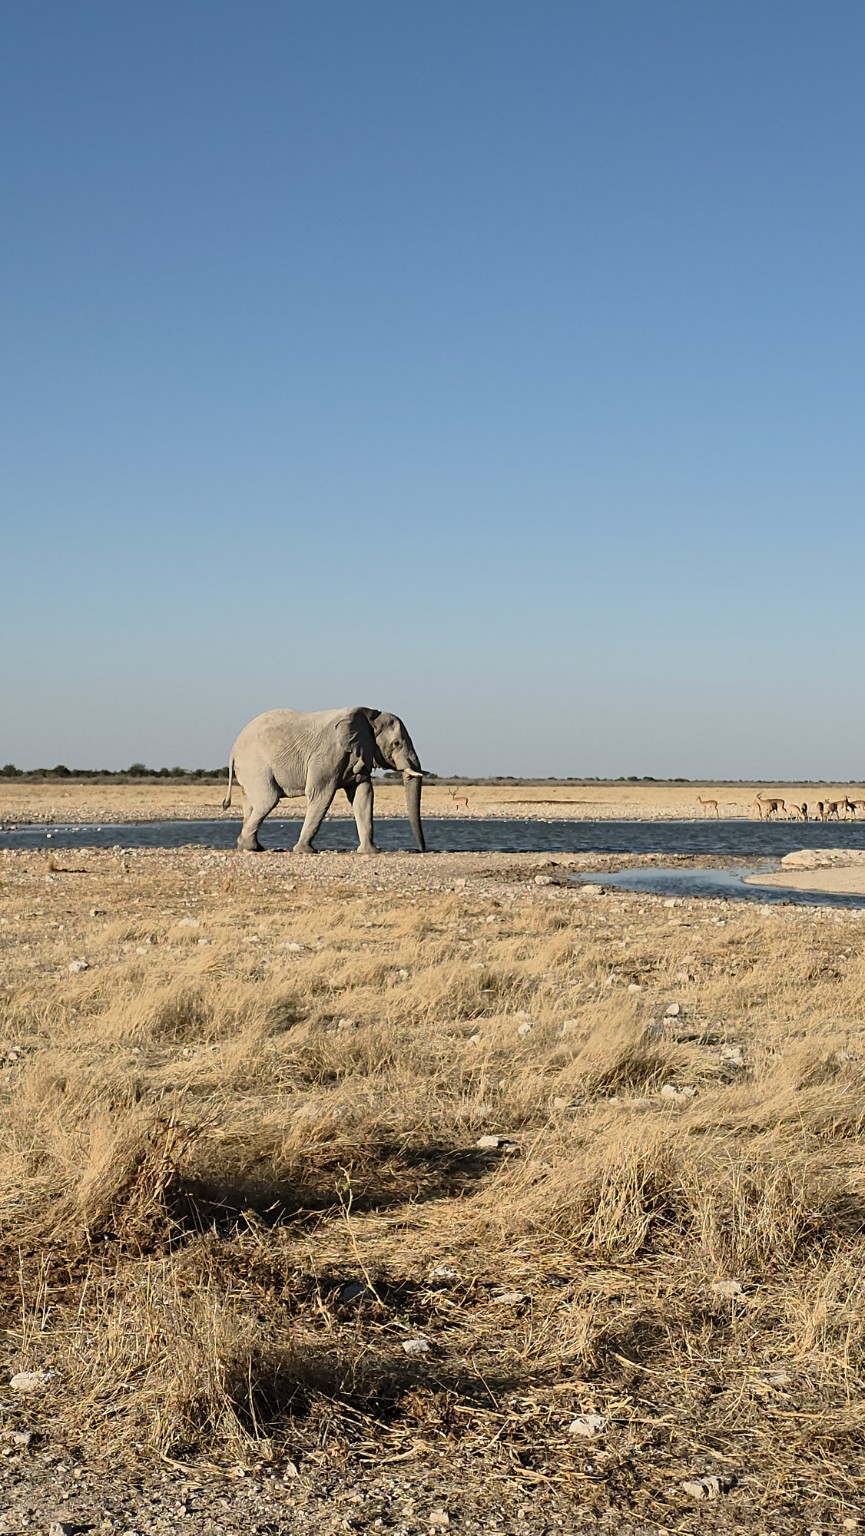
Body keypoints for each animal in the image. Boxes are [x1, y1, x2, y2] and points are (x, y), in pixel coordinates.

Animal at [222, 706, 425, 854]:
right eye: (396, 744)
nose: (422, 849)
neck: (369, 716)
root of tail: (233, 749)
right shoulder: (328, 754)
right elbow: (321, 794)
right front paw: (304, 851)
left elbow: (363, 795)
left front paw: (371, 851)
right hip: (255, 765)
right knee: (268, 800)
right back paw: (248, 847)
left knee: (251, 803)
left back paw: (253, 847)